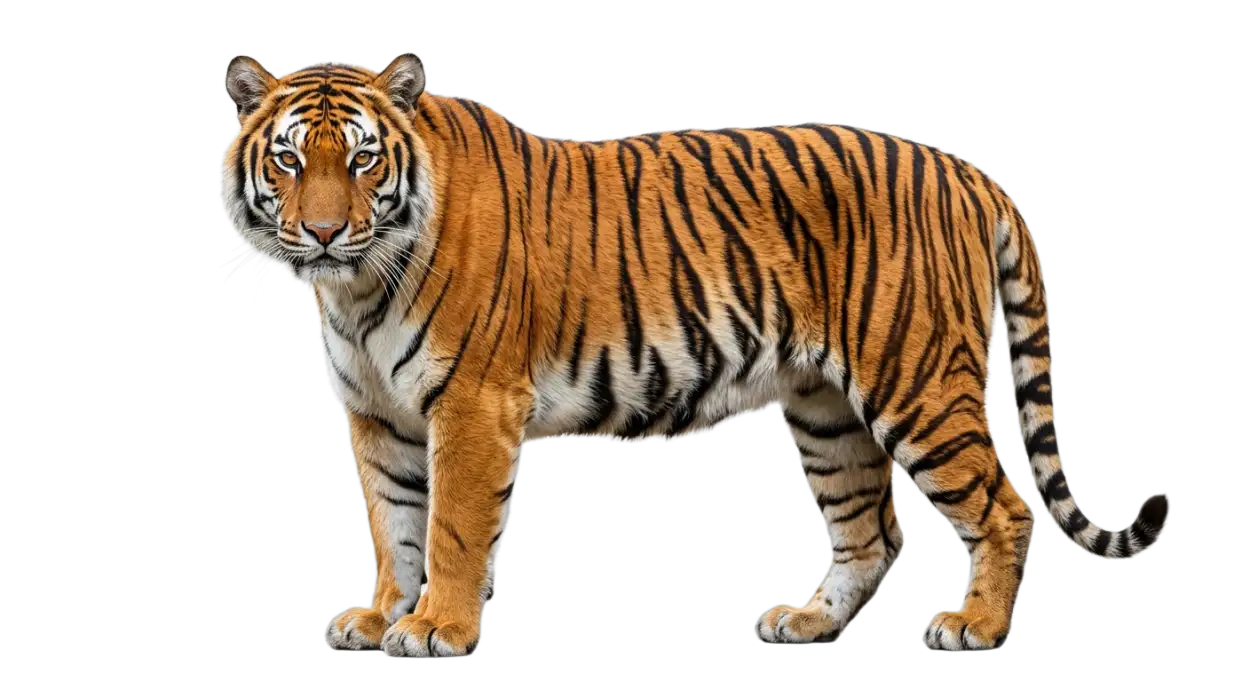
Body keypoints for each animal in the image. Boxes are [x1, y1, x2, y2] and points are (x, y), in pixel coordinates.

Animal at [220, 53, 1169, 657]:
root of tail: (968, 170)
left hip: (919, 382)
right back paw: (808, 623)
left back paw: (975, 627)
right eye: (291, 160)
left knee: (1004, 507)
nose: (324, 231)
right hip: (827, 410)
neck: (355, 288)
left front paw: (434, 630)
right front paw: (379, 617)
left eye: (363, 161)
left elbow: (449, 530)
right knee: (872, 530)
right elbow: (392, 527)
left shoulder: (472, 407)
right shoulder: (377, 417)